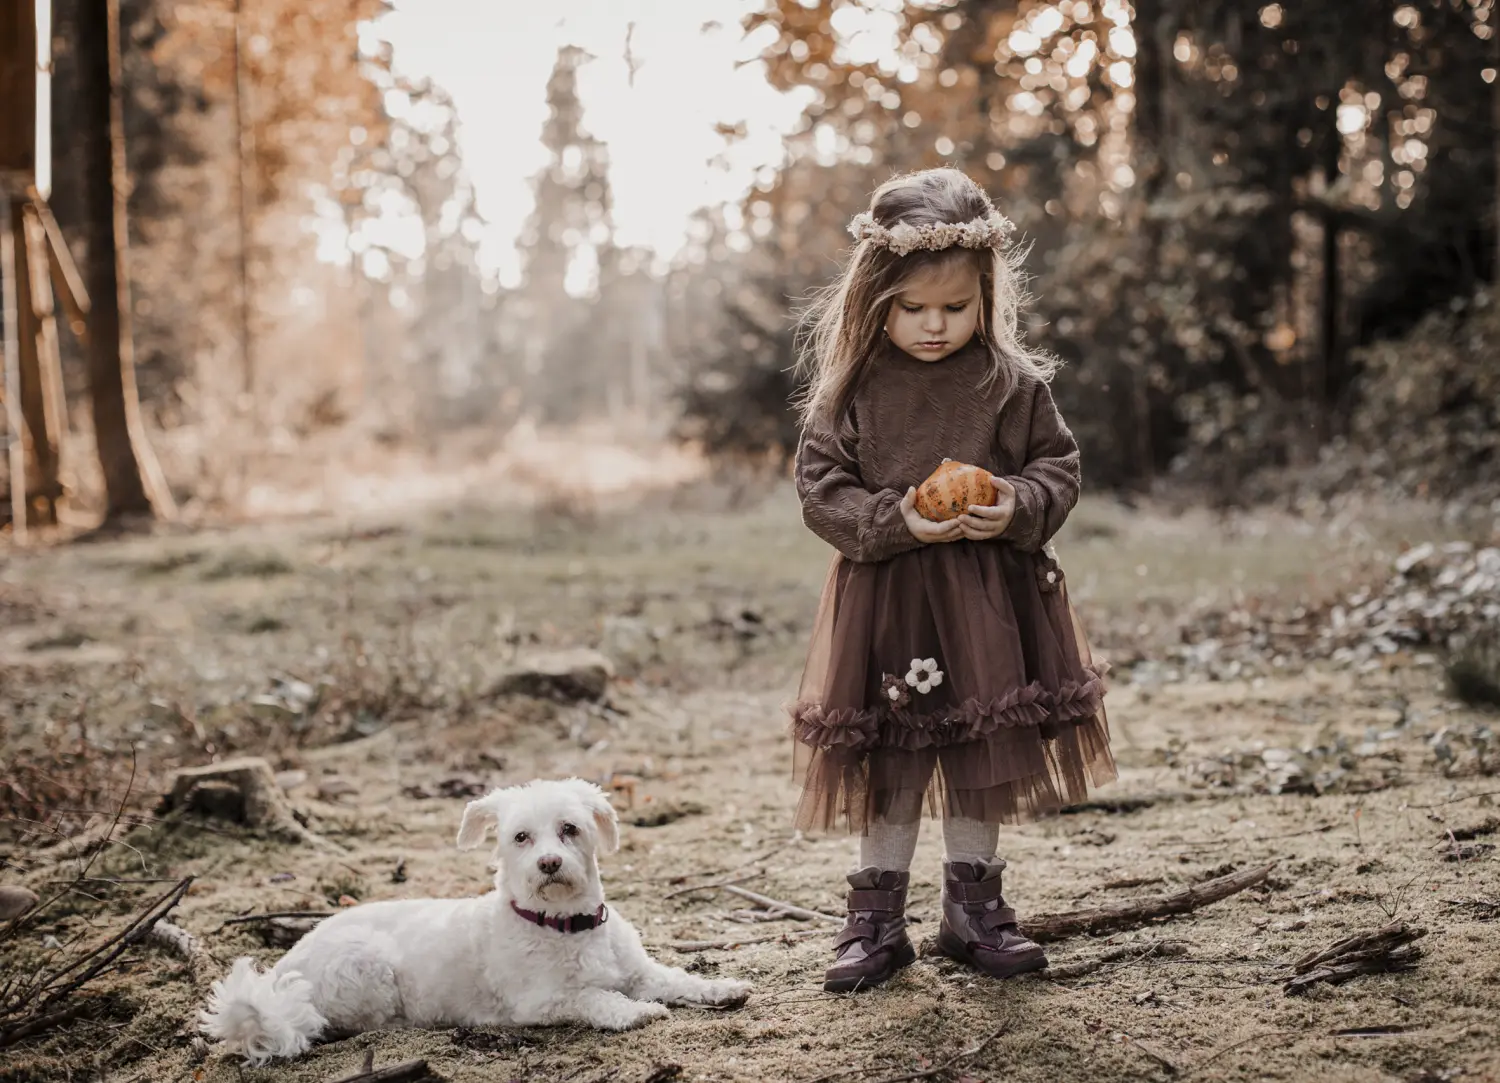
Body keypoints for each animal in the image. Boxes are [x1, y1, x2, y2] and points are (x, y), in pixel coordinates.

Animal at [202, 774, 750, 1062]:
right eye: (520, 837)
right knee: (359, 1022)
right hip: (366, 965)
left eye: (569, 829)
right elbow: (594, 997)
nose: (548, 863)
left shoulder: (641, 971)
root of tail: (278, 974)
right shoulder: (541, 1002)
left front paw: (721, 987)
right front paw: (635, 1012)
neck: (563, 923)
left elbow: (677, 978)